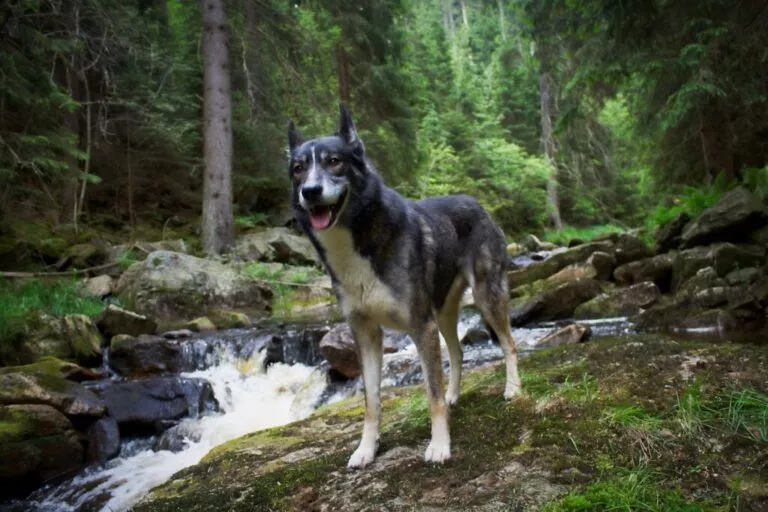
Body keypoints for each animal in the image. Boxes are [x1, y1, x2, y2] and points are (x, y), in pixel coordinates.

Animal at [288, 104, 520, 468]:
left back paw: (513, 390)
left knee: (509, 343)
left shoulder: (420, 326)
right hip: (443, 315)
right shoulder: (366, 334)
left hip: (486, 297)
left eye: (334, 161)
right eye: (298, 169)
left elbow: (431, 393)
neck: (358, 240)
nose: (310, 191)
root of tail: (479, 205)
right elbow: (371, 401)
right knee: (458, 352)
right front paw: (366, 449)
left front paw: (439, 446)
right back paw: (455, 396)